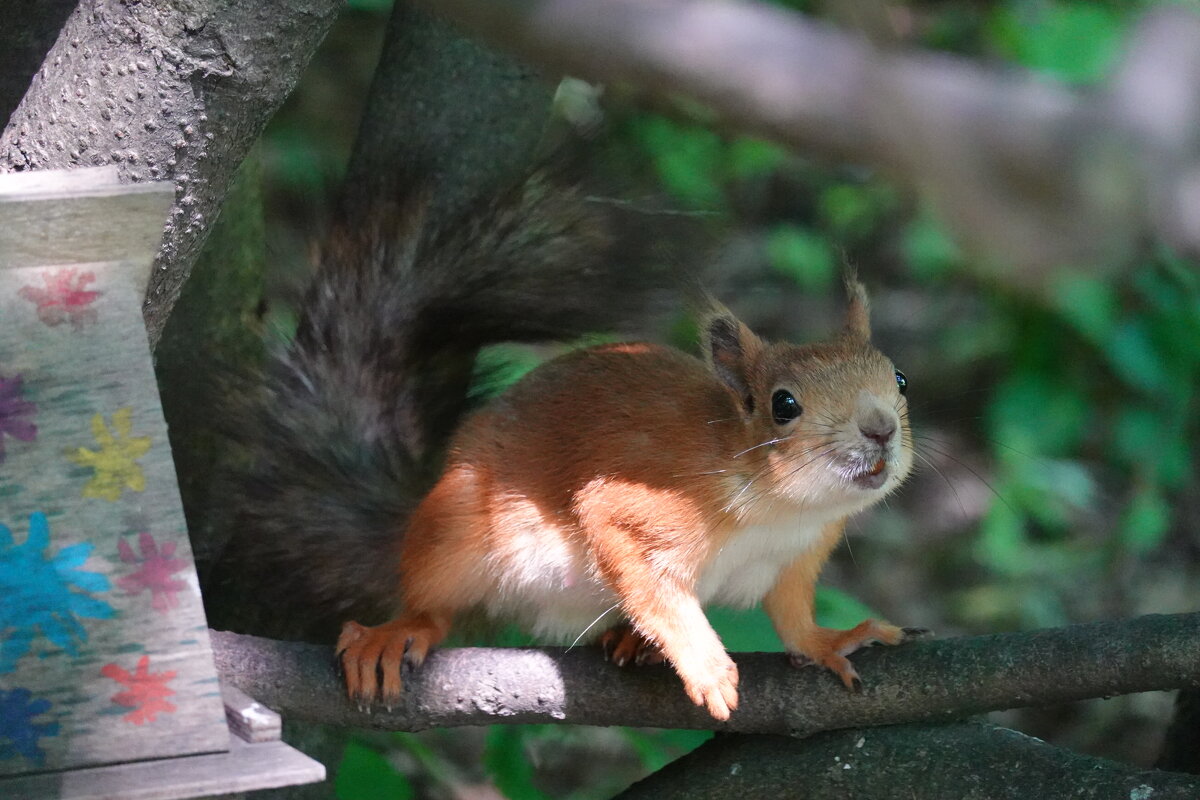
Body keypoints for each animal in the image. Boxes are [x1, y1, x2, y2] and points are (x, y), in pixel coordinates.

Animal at [223, 164, 916, 724]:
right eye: (784, 405)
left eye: (900, 378)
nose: (880, 427)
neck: (782, 510)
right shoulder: (637, 503)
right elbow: (649, 580)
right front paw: (704, 662)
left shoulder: (796, 561)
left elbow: (793, 621)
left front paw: (830, 641)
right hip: (459, 526)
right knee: (432, 601)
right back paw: (400, 630)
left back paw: (630, 642)